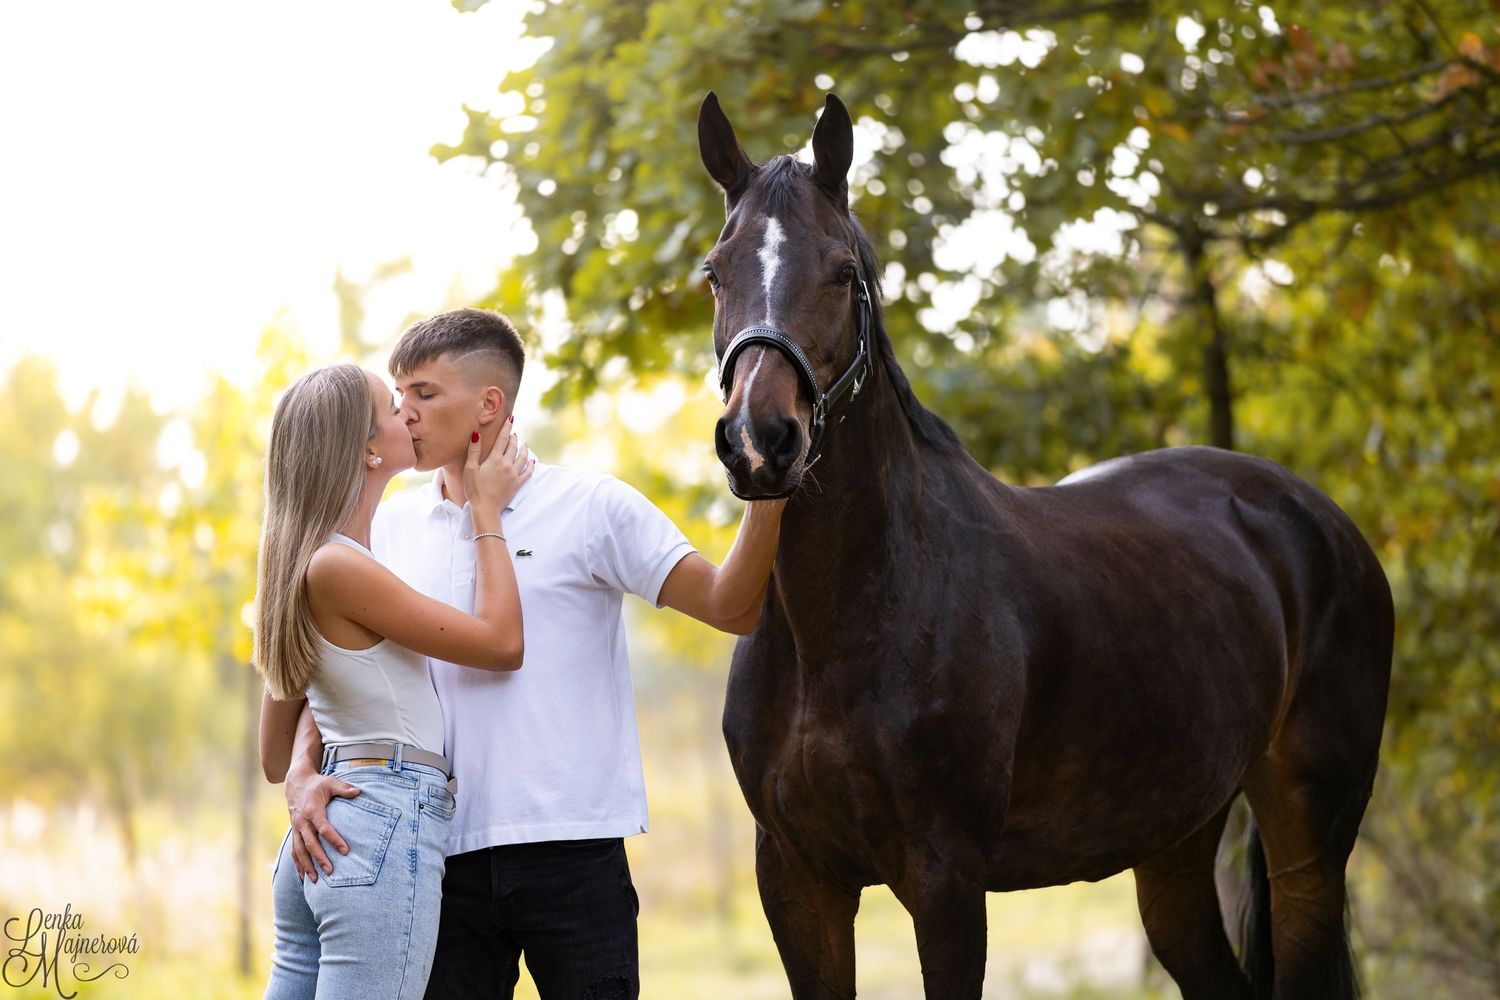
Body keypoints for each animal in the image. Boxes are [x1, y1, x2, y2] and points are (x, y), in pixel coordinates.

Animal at [698, 91, 1393, 1000]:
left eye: (843, 272)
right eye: (716, 272)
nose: (761, 440)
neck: (844, 627)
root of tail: (1323, 522)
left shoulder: (947, 881)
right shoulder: (796, 880)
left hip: (1309, 836)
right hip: (1175, 836)